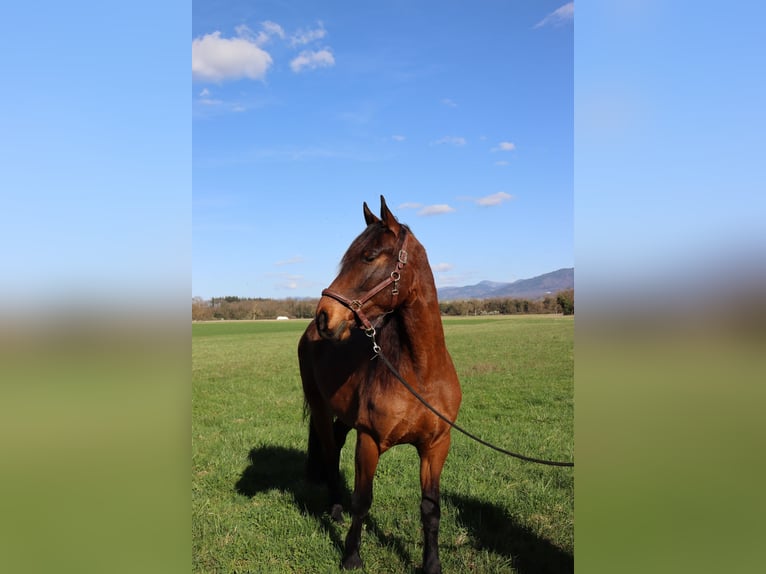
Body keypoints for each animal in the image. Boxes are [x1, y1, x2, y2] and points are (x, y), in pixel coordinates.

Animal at [298, 196, 462, 573]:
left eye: (369, 256)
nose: (325, 316)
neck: (420, 373)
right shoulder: (370, 440)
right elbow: (362, 500)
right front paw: (351, 556)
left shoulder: (436, 446)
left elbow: (431, 509)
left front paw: (432, 564)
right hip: (320, 408)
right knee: (330, 451)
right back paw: (335, 509)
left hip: (344, 415)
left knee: (335, 442)